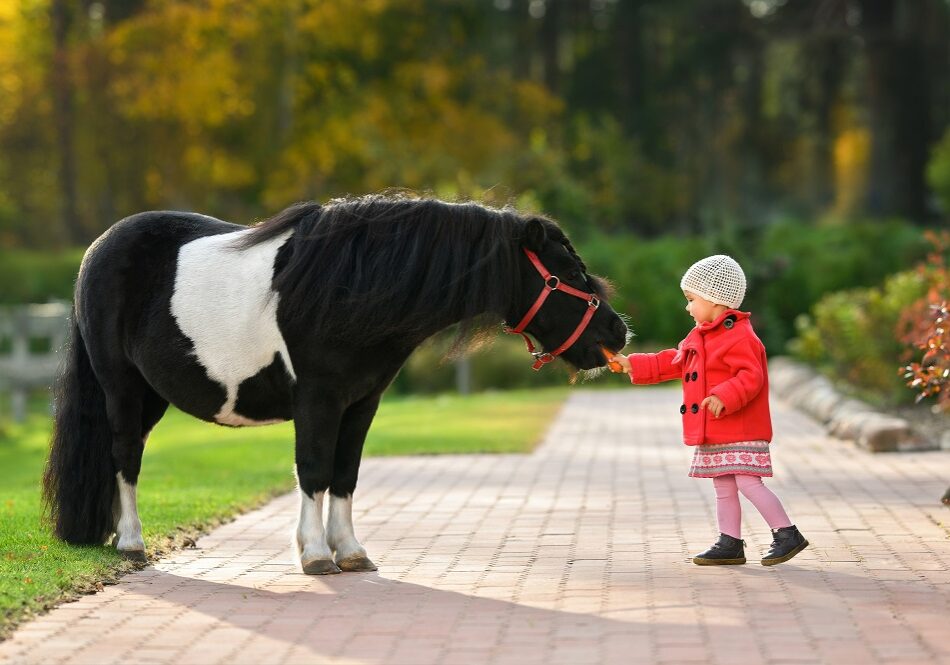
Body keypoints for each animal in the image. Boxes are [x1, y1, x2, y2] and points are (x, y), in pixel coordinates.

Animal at [41, 192, 628, 572]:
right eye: (566, 273)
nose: (617, 332)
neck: (351, 285)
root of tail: (96, 250)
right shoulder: (318, 400)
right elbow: (315, 469)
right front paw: (316, 555)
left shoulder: (361, 402)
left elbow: (345, 473)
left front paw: (351, 552)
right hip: (121, 387)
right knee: (124, 455)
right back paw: (132, 543)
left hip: (152, 396)